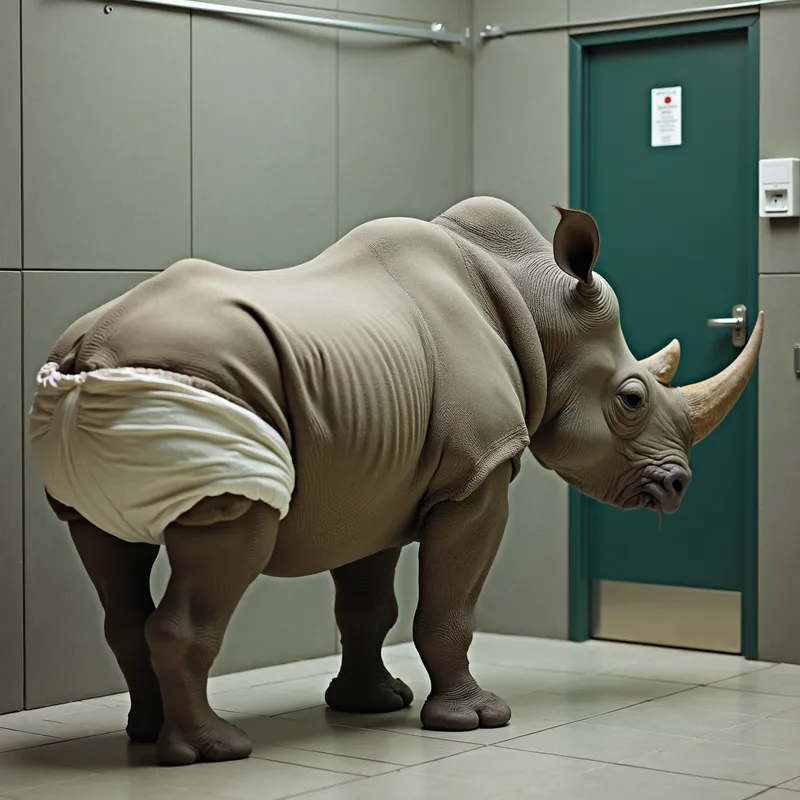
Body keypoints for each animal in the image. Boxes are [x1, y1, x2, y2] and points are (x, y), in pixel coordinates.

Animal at [28, 196, 763, 767]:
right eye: (632, 399)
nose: (678, 486)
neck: (538, 310)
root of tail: (88, 354)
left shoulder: (370, 484)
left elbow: (367, 607)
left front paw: (371, 707)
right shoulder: (477, 474)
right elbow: (450, 608)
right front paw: (475, 719)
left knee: (107, 553)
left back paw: (147, 736)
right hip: (213, 403)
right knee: (231, 539)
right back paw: (212, 752)